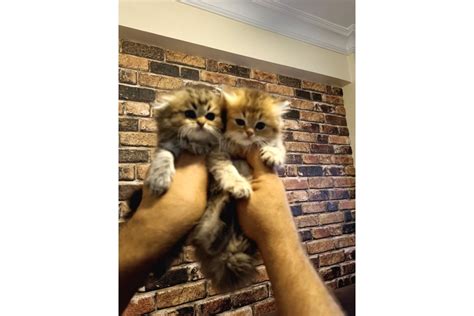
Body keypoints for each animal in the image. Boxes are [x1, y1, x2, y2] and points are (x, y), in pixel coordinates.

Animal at [193, 86, 288, 292]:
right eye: (240, 122)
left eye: (260, 125)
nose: (249, 133)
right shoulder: (217, 154)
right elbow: (228, 170)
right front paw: (238, 185)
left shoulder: (276, 144)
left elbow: (278, 148)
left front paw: (272, 155)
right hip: (209, 213)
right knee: (207, 240)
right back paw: (228, 203)